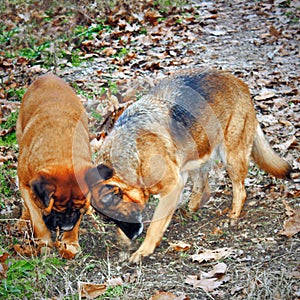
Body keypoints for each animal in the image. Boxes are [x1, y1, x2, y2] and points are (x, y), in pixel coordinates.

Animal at [17, 73, 92, 258]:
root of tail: (48, 75)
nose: (65, 227)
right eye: (56, 209)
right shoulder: (25, 184)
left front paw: (69, 242)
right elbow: (37, 219)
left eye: (77, 208)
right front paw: (45, 242)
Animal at [85, 69, 292, 262]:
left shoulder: (172, 185)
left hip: (231, 156)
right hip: (196, 153)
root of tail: (240, 83)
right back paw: (191, 207)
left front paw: (144, 249)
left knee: (240, 191)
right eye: (110, 219)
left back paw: (232, 215)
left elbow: (155, 225)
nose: (133, 236)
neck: (134, 156)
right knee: (203, 183)